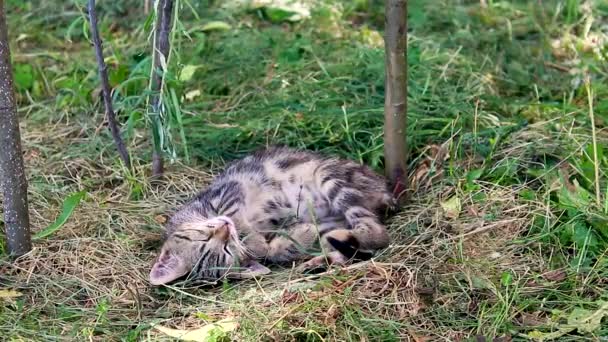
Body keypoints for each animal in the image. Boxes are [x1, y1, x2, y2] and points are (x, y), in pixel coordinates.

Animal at [148, 146, 394, 284]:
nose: (224, 229)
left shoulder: (228, 192)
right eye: (226, 250)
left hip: (329, 177)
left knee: (379, 233)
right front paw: (296, 236)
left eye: (204, 237)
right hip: (330, 221)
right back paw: (319, 260)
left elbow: (238, 220)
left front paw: (253, 242)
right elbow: (273, 251)